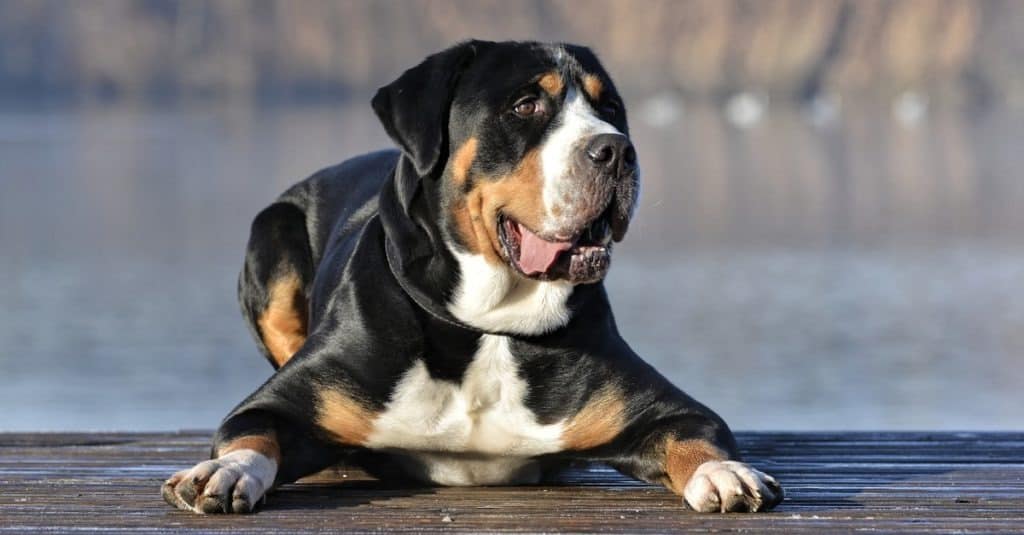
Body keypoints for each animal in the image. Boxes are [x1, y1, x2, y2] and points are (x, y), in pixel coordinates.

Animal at [159, 39, 782, 514]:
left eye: (611, 109)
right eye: (527, 105)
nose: (616, 150)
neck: (488, 324)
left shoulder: (663, 409)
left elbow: (696, 436)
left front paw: (726, 473)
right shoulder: (280, 402)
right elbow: (250, 433)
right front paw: (223, 472)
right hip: (273, 234)